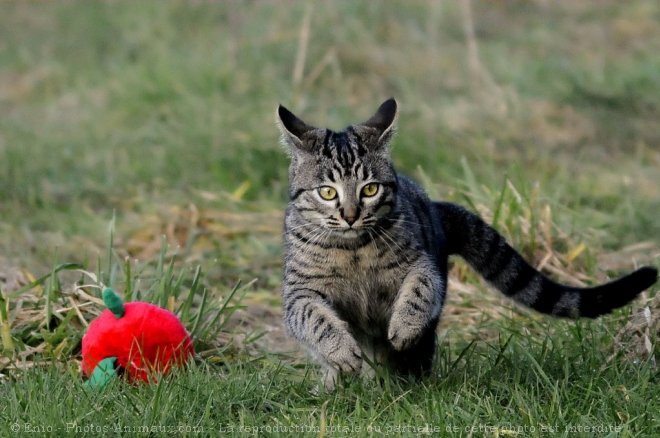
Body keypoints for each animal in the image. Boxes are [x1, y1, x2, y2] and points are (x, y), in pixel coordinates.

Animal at [274, 97, 656, 388]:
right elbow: (315, 319)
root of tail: (434, 206)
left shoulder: (422, 264)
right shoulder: (299, 291)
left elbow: (420, 291)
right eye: (327, 192)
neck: (353, 251)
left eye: (370, 189)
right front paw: (341, 353)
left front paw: (404, 327)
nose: (351, 215)